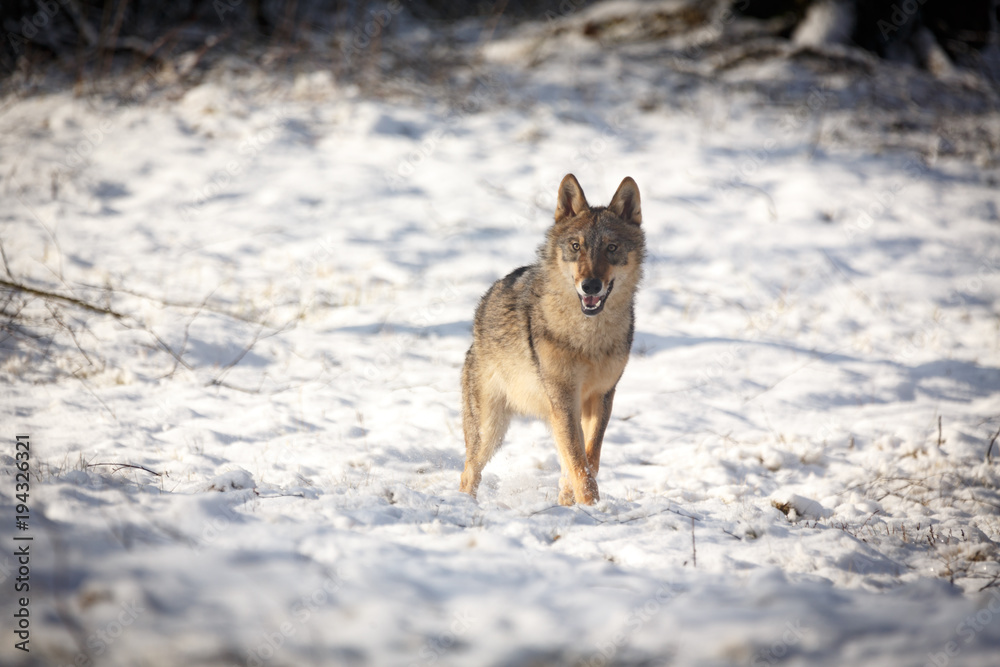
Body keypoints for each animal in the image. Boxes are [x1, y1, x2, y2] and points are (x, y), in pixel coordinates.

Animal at [460, 174, 645, 505]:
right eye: (576, 246)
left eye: (611, 247)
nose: (590, 285)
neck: (588, 338)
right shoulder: (564, 398)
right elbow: (579, 462)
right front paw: (592, 506)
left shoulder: (602, 396)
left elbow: (589, 458)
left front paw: (581, 502)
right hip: (490, 432)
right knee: (468, 473)